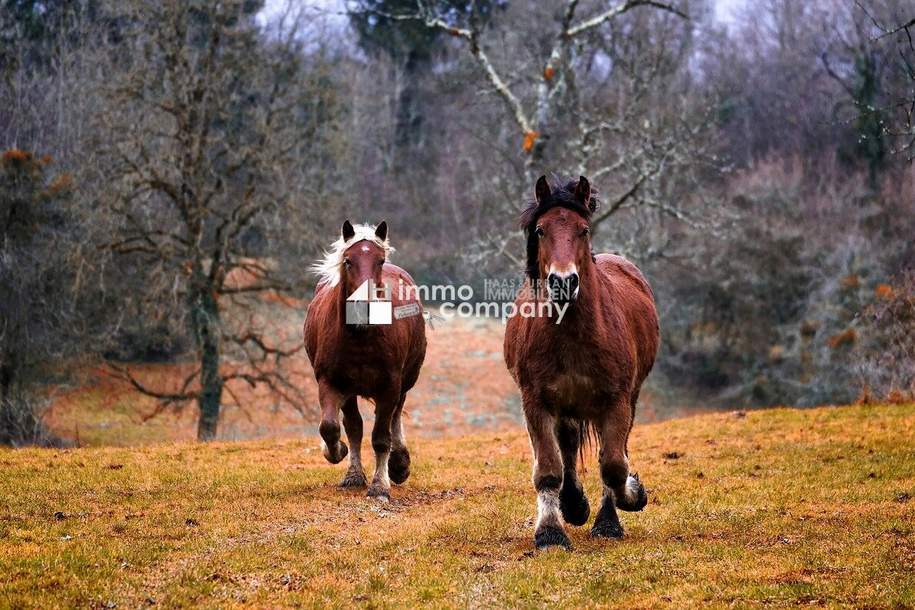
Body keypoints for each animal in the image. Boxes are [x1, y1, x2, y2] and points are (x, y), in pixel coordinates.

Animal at [304, 221, 426, 496]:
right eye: (348, 261)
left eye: (379, 261)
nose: (364, 305)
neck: (361, 335)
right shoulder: (331, 382)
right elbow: (333, 427)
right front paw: (338, 454)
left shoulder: (389, 385)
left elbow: (381, 437)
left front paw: (380, 485)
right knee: (354, 426)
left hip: (405, 380)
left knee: (395, 416)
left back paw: (399, 464)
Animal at [504, 175, 660, 548]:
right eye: (541, 230)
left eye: (583, 229)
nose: (564, 282)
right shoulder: (536, 402)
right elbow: (549, 469)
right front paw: (550, 531)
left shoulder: (616, 401)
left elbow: (614, 465)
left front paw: (629, 500)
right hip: (566, 406)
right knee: (569, 445)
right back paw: (572, 504)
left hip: (625, 400)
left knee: (610, 451)